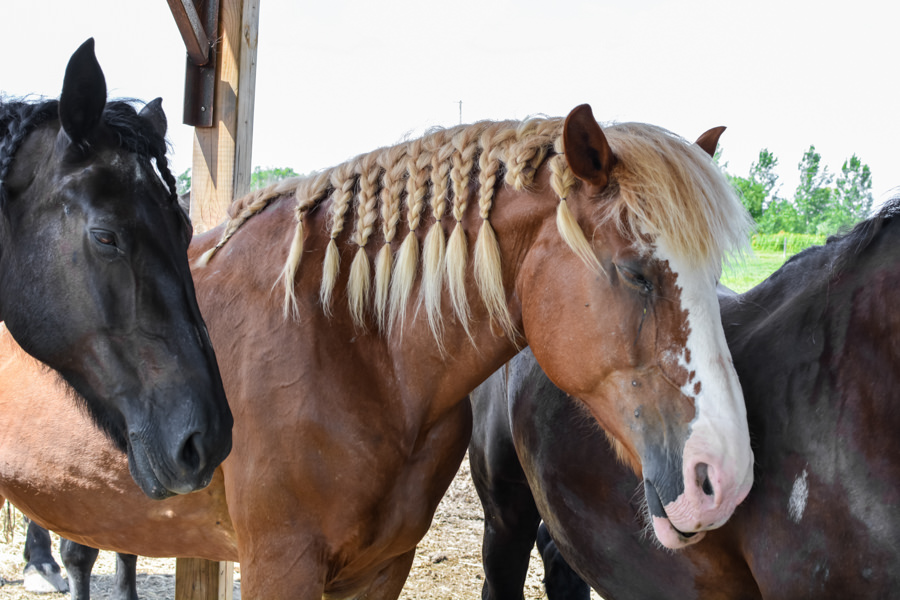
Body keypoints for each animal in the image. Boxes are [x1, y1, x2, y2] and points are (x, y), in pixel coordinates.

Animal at [0, 105, 752, 596]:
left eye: (714, 277)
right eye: (636, 272)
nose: (726, 478)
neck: (349, 349)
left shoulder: (381, 567)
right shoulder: (280, 566)